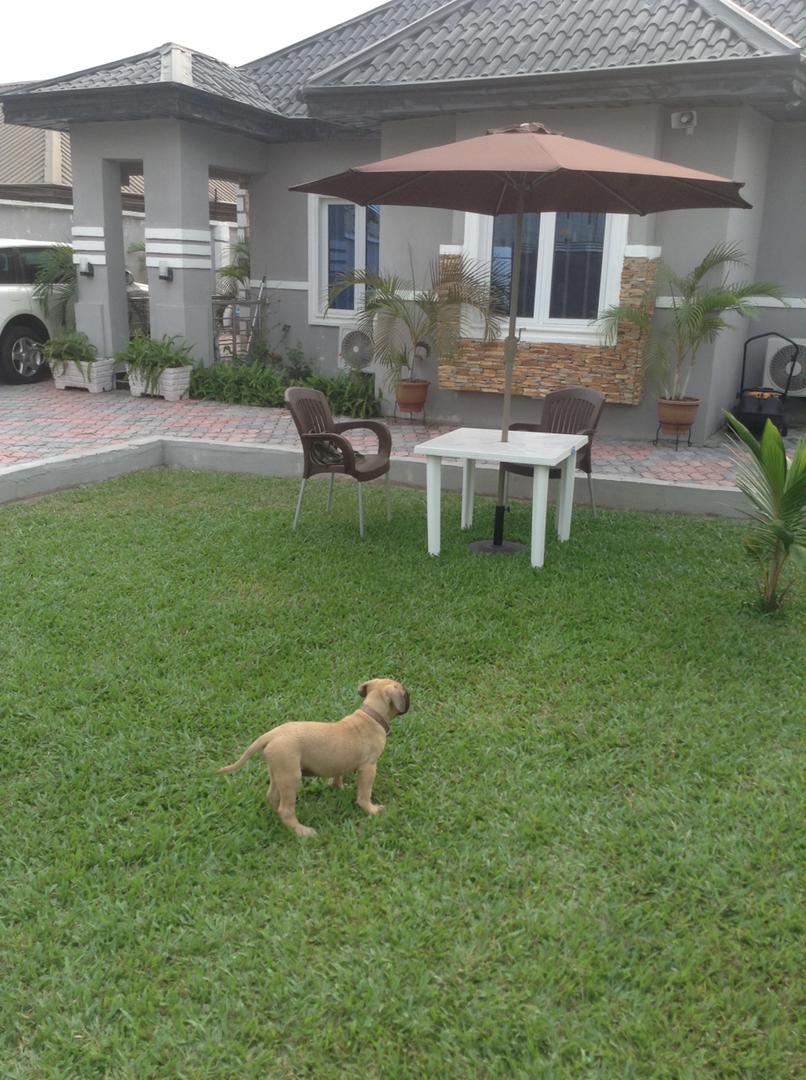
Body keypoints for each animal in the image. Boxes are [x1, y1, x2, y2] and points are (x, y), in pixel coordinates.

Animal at [217, 678, 409, 837]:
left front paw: (337, 787)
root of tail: (270, 735)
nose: (410, 694)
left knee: (273, 797)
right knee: (286, 809)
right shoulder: (369, 767)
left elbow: (337, 774)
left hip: (277, 771)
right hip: (291, 776)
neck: (371, 715)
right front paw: (372, 810)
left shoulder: (338, 762)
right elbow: (364, 793)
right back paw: (302, 831)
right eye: (404, 691)